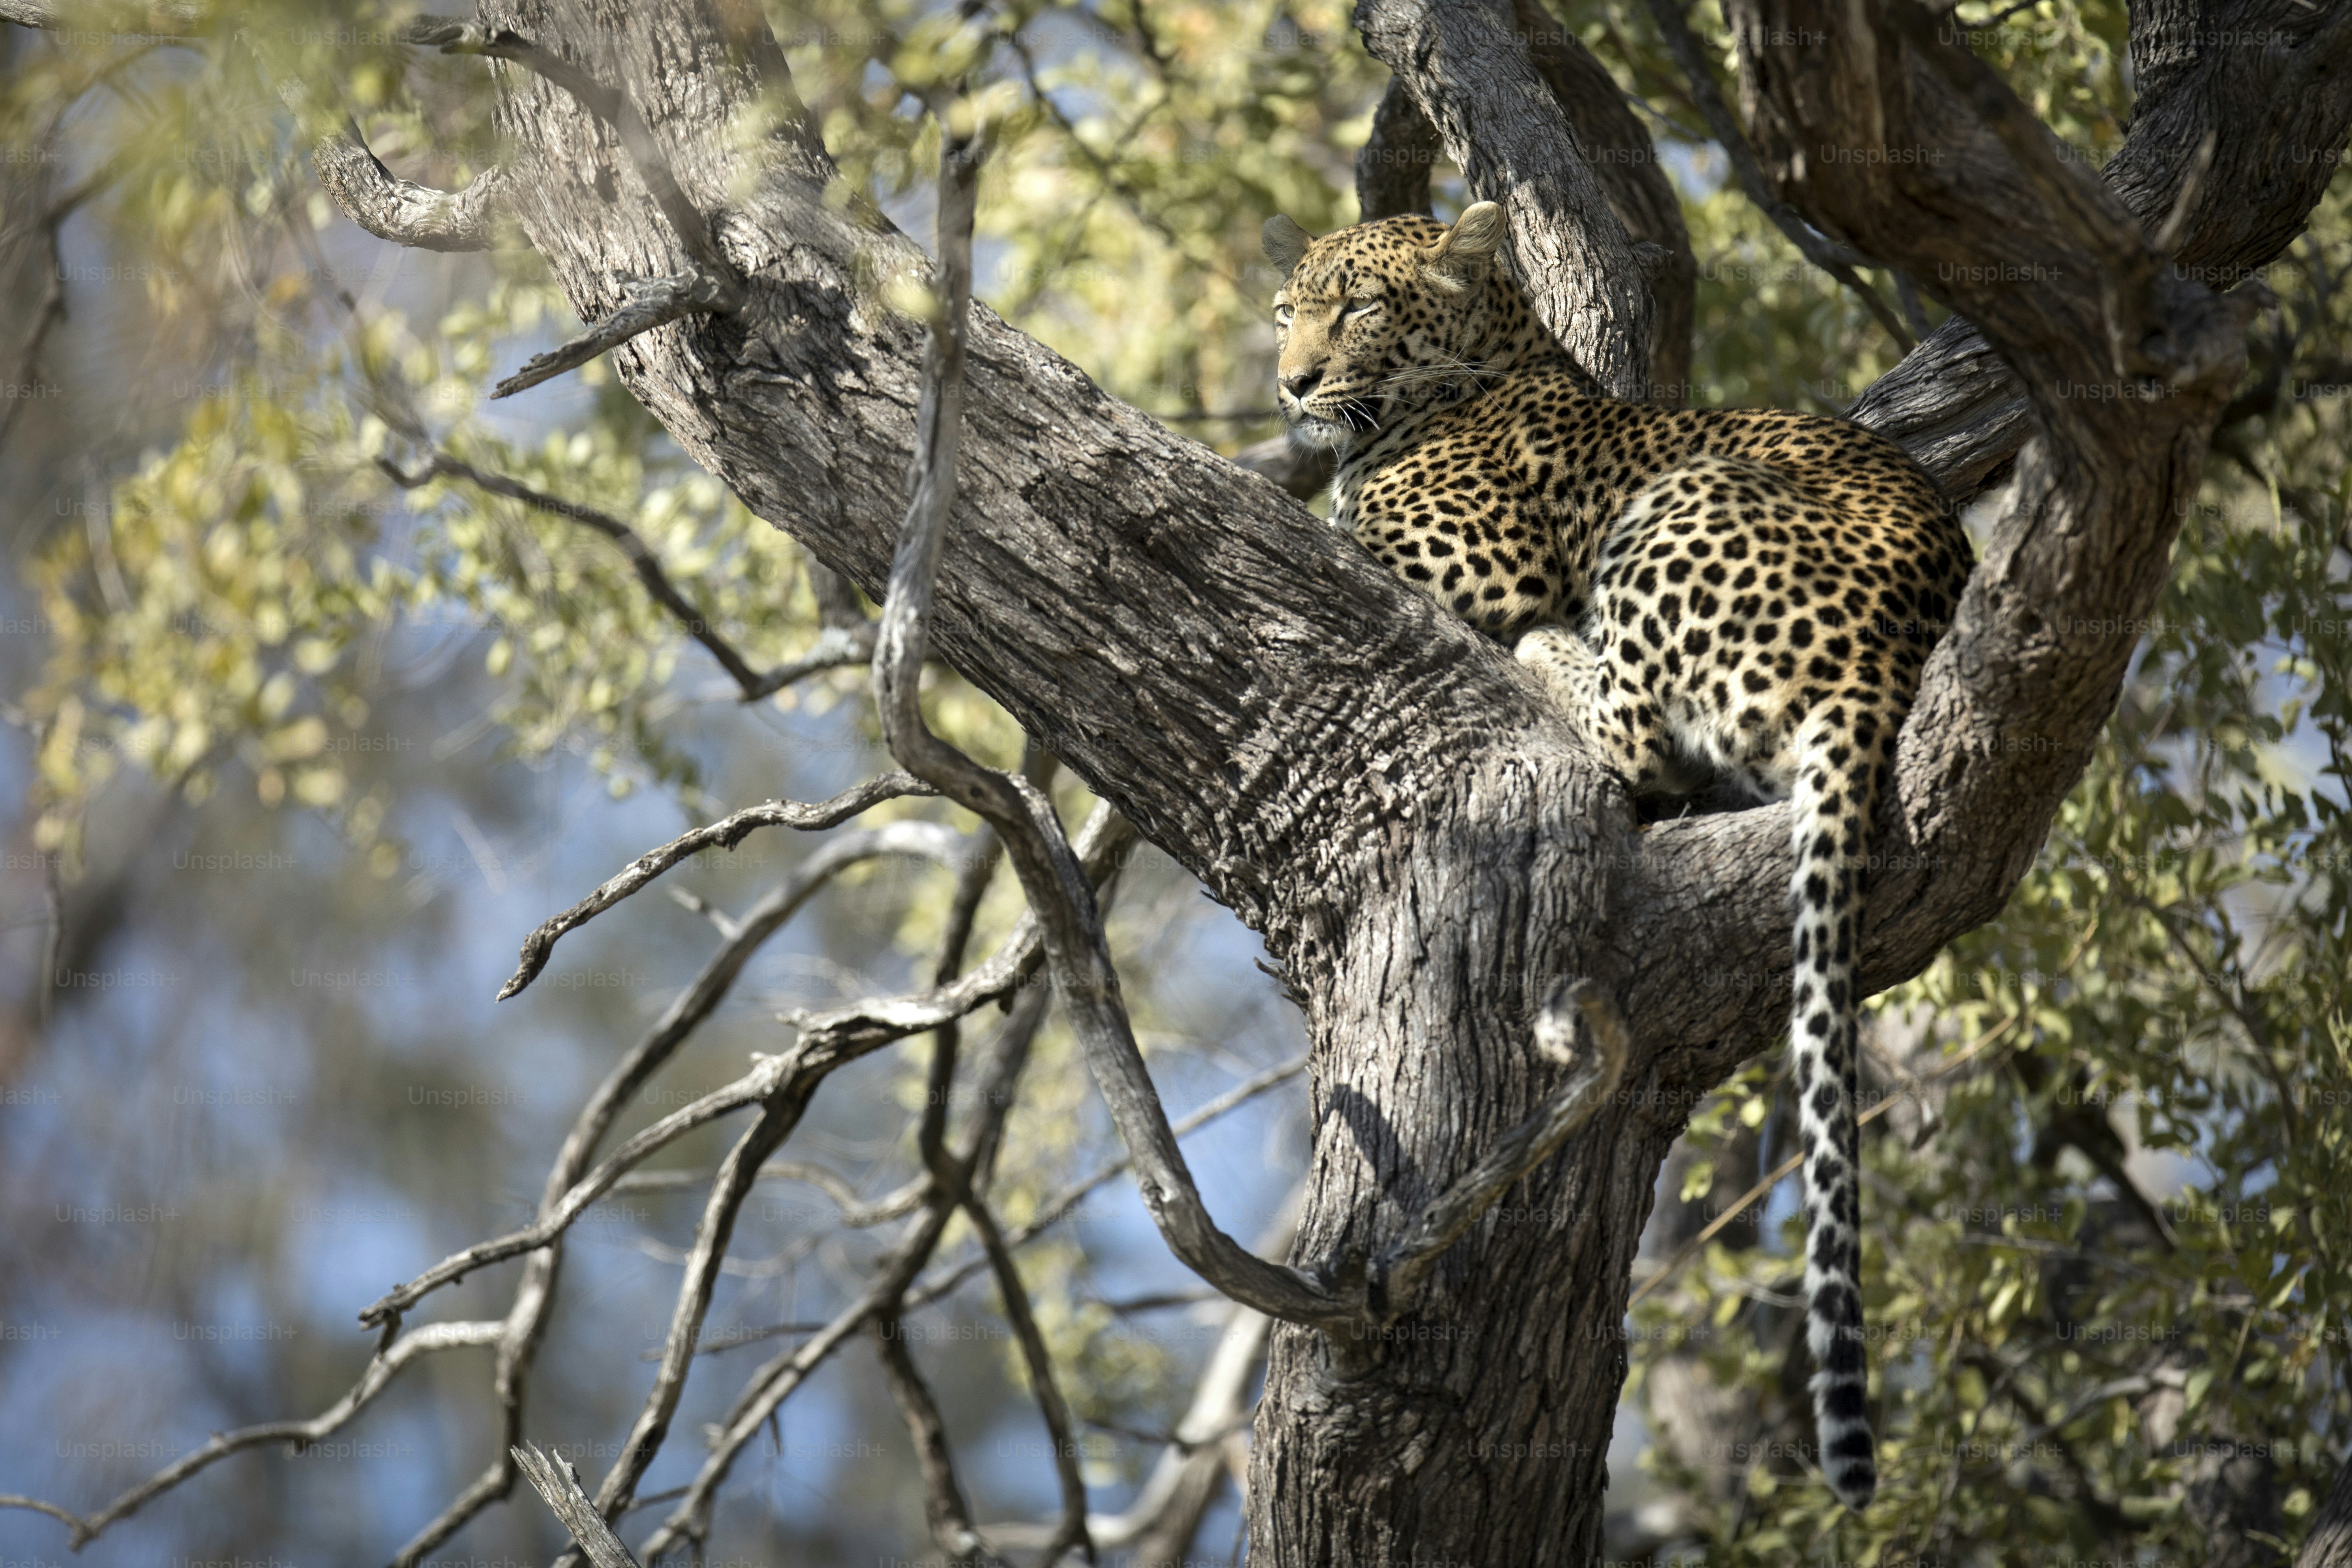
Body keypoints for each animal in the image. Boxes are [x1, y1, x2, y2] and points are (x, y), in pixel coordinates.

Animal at [1263, 200, 1974, 1511]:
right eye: (1288, 312)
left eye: (1357, 306)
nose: (1290, 382)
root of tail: (1888, 659)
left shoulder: (1480, 556)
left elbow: (1345, 527)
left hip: (1681, 500)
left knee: (1633, 741)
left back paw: (1555, 653)